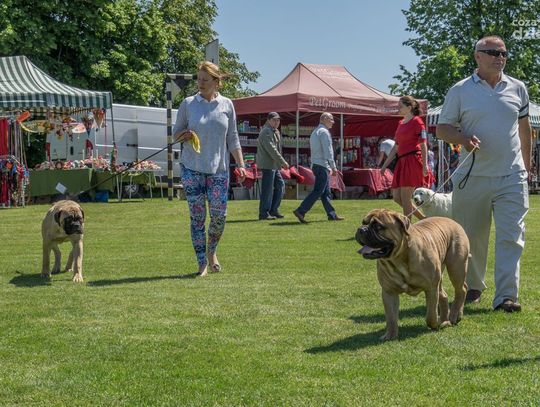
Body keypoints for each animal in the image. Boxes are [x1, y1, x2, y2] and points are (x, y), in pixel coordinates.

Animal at [355, 209, 469, 340]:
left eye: (378, 226)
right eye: (363, 222)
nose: (361, 229)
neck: (397, 259)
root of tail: (452, 221)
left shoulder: (431, 289)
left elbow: (430, 315)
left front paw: (435, 324)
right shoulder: (389, 292)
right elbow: (391, 318)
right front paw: (390, 335)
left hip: (456, 268)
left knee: (461, 289)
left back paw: (455, 315)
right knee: (444, 295)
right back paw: (445, 320)